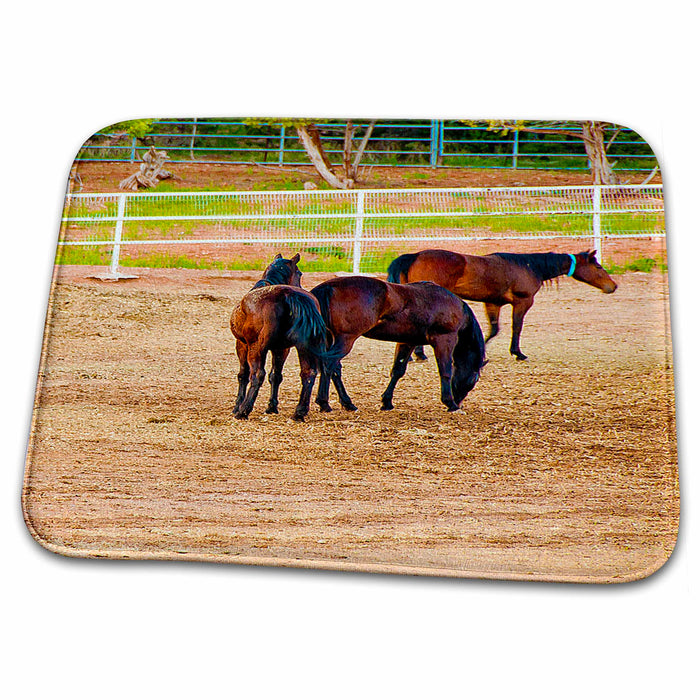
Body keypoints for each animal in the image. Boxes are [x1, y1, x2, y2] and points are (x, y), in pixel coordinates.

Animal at [228, 256, 330, 422]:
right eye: (300, 273)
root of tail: (287, 293)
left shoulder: (242, 345)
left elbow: (243, 375)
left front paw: (237, 405)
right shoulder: (281, 349)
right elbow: (275, 376)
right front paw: (272, 407)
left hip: (256, 348)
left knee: (257, 375)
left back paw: (243, 410)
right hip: (302, 346)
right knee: (308, 373)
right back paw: (299, 412)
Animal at [312, 276, 486, 412]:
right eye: (474, 379)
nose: (459, 402)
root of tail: (328, 287)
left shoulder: (407, 342)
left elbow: (398, 371)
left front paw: (387, 402)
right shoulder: (444, 340)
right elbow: (445, 371)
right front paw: (450, 403)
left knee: (334, 369)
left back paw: (347, 404)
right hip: (345, 340)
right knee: (329, 365)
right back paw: (324, 403)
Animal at [388, 249, 616, 360]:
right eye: (597, 266)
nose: (612, 286)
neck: (528, 267)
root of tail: (415, 256)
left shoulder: (492, 303)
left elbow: (493, 329)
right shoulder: (523, 302)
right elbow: (517, 327)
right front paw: (518, 353)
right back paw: (418, 354)